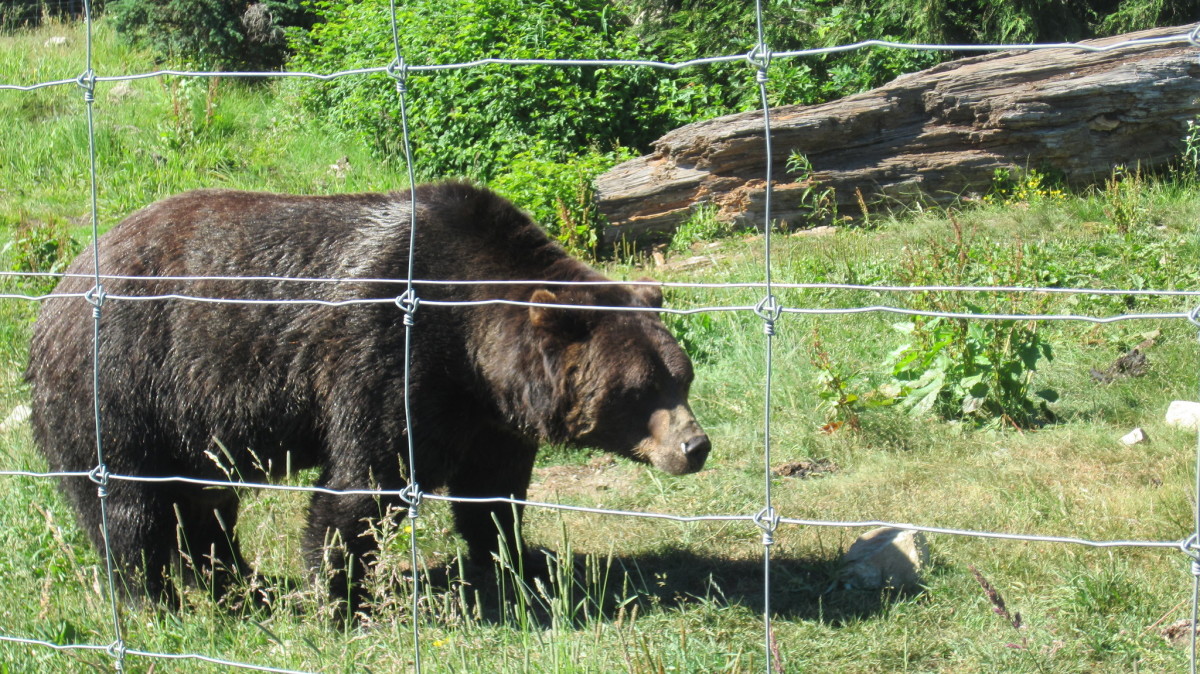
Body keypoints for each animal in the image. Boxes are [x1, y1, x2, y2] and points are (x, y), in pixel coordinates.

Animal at [26, 181, 710, 609]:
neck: (472, 342)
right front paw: (341, 592)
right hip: (122, 384)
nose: (695, 446)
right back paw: (157, 600)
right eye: (638, 389)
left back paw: (244, 585)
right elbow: (365, 482)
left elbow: (491, 493)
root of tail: (58, 290)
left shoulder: (485, 414)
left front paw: (518, 563)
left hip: (187, 421)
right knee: (129, 507)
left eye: (682, 375)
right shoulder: (386, 351)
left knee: (204, 506)